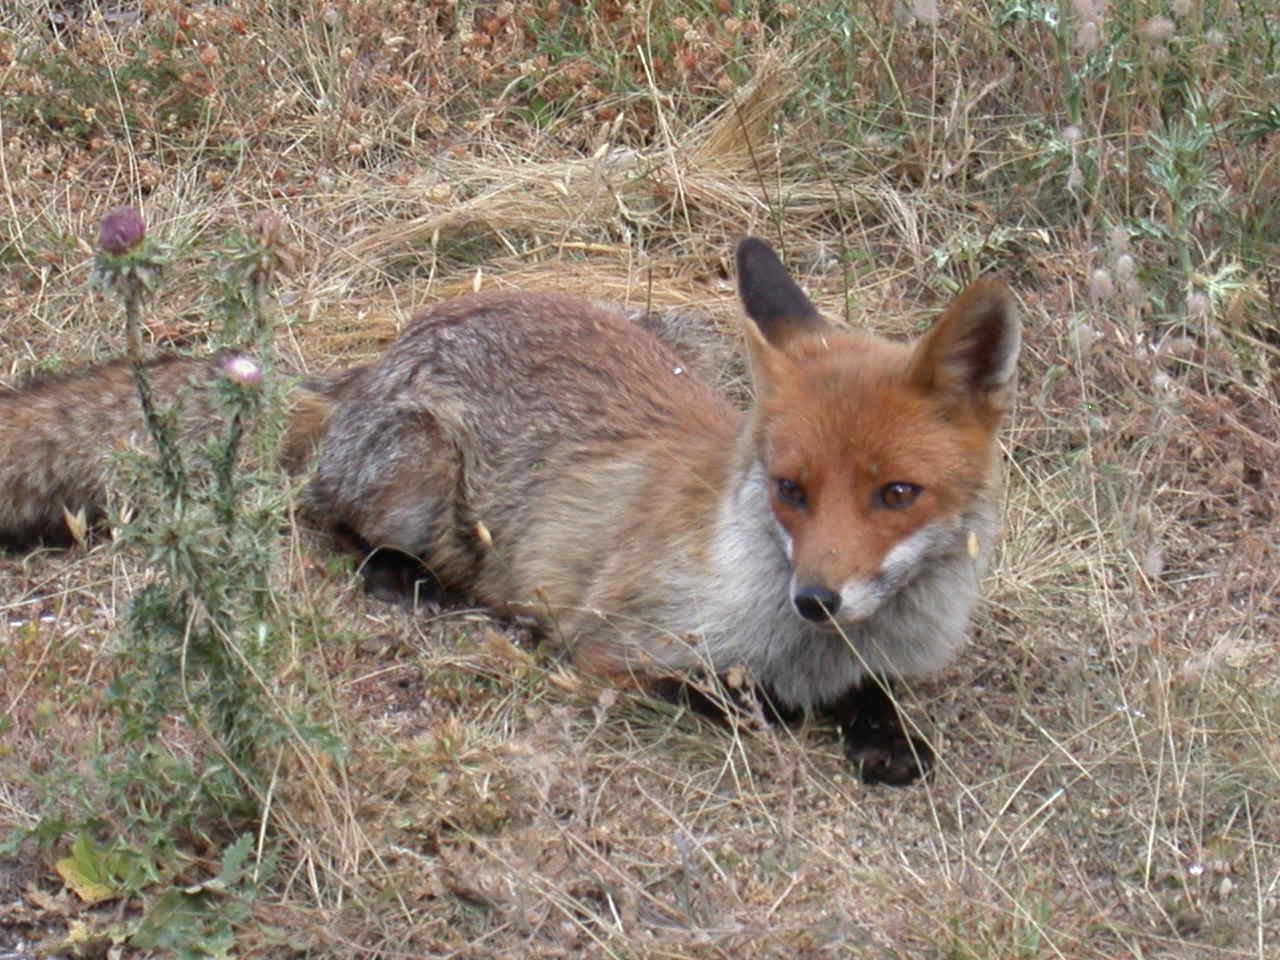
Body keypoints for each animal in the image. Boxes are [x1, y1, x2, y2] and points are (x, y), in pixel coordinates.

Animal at [0, 239, 1018, 783]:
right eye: (790, 490)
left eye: (896, 495)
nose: (816, 598)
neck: (812, 648)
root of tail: (372, 365)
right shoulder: (613, 646)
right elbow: (736, 701)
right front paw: (791, 712)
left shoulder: (881, 665)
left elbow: (876, 701)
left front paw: (886, 741)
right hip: (420, 487)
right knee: (327, 520)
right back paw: (413, 584)